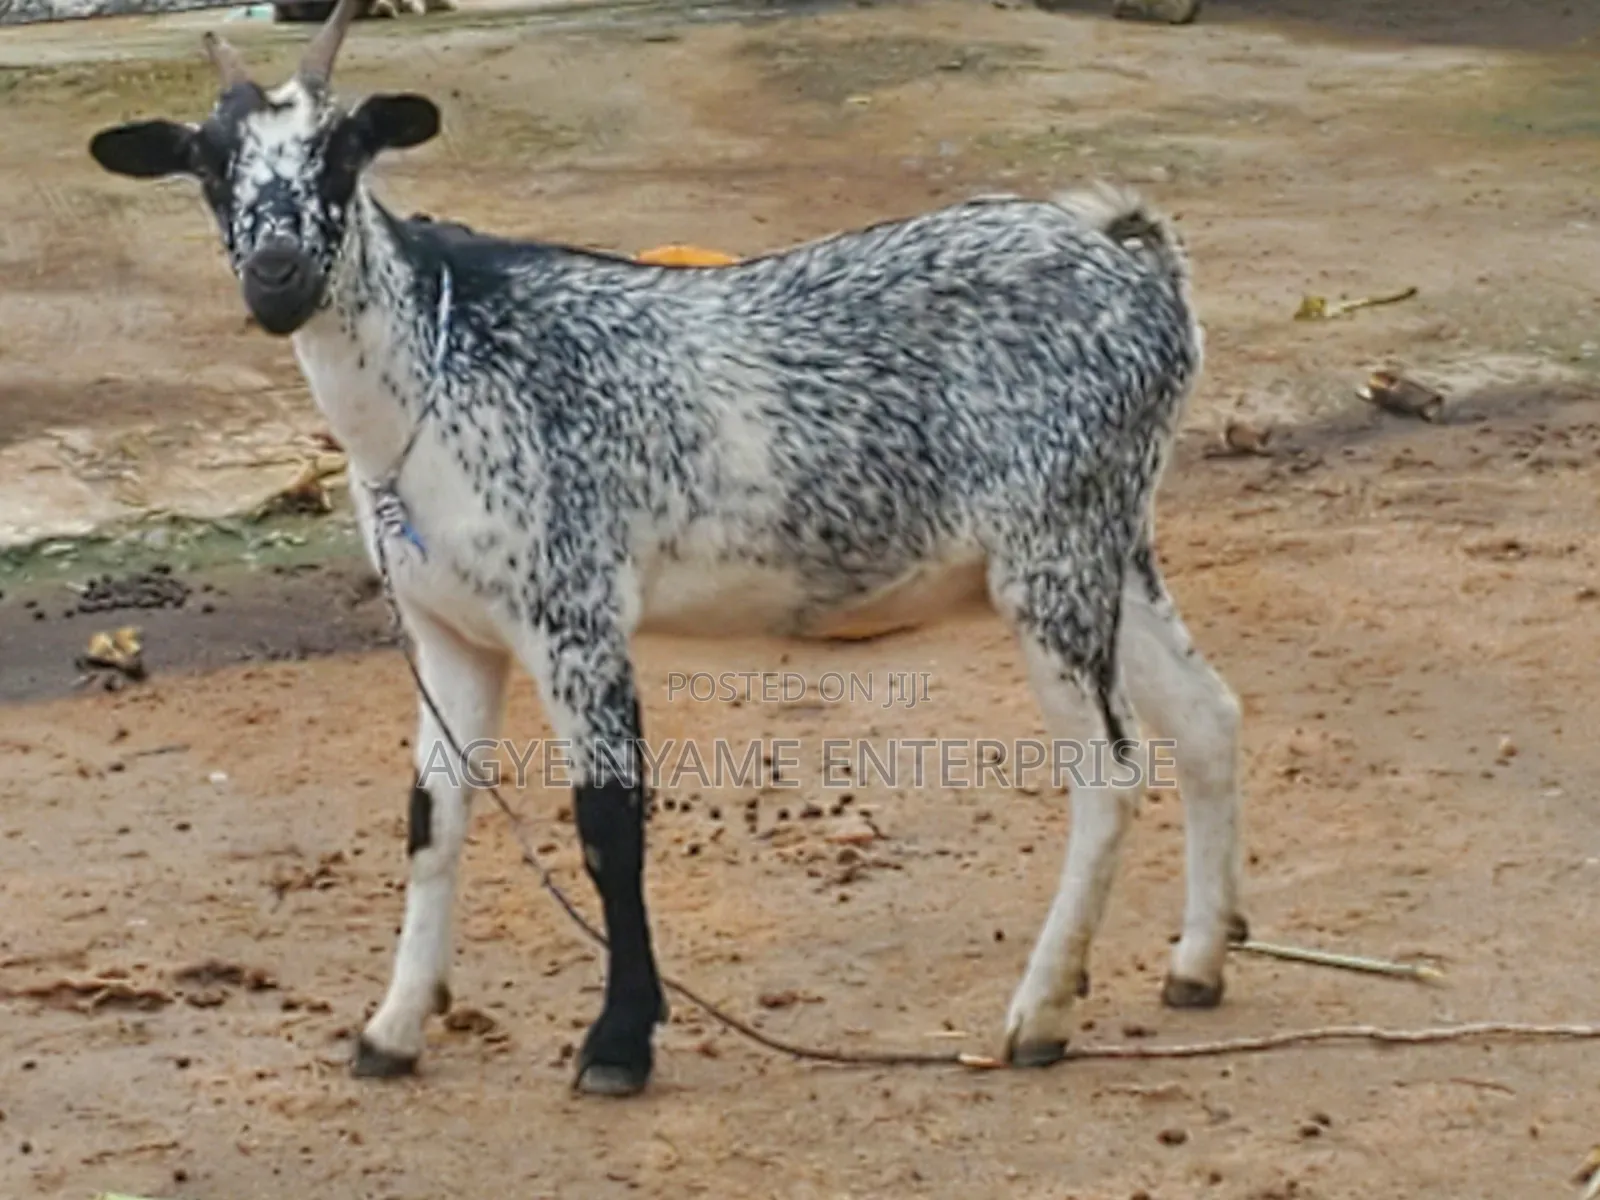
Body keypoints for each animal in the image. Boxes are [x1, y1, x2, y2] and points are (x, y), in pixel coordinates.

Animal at [86, 0, 1247, 1097]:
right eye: (209, 162)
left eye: (341, 149)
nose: (278, 272)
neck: (438, 377)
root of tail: (1139, 271)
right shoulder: (446, 630)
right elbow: (432, 818)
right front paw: (391, 1030)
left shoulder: (574, 611)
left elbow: (608, 823)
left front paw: (618, 1043)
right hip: (1111, 543)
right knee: (1205, 714)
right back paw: (1197, 961)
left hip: (1051, 550)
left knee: (1109, 769)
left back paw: (1040, 1016)